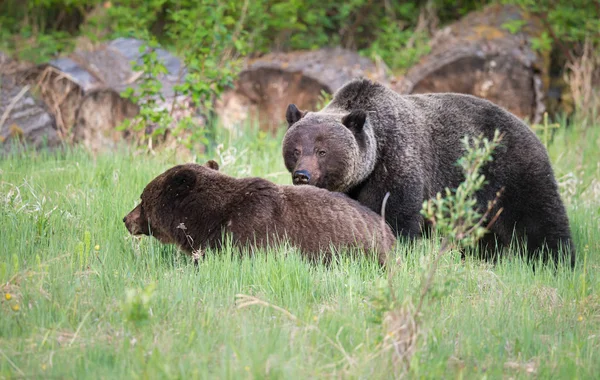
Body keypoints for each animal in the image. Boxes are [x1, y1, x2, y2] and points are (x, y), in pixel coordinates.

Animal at [284, 77, 576, 268]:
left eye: (322, 151)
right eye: (295, 149)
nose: (302, 175)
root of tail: (529, 128)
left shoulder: (397, 165)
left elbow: (394, 217)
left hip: (512, 173)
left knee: (540, 218)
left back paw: (558, 261)